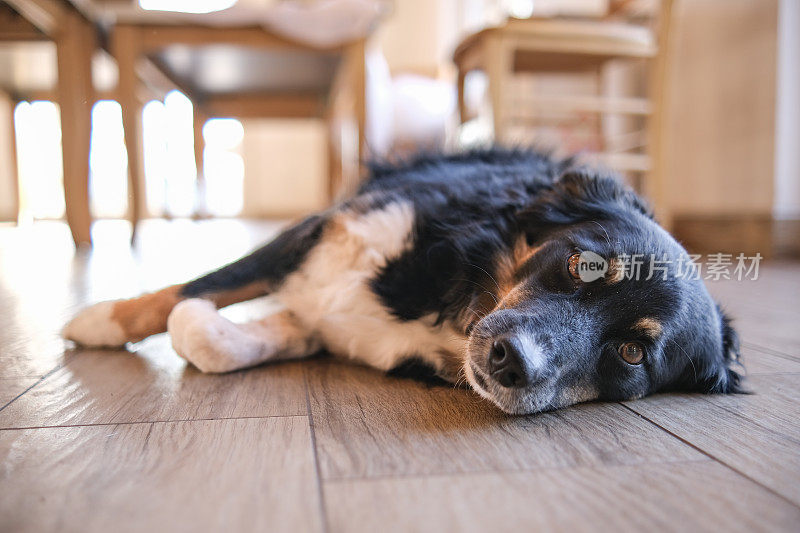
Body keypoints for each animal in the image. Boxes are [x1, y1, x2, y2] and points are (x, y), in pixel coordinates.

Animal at [61, 148, 744, 414]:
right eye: (585, 264)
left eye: (631, 354)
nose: (510, 361)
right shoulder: (316, 233)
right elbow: (186, 293)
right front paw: (98, 320)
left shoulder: (335, 320)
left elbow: (208, 338)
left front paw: (218, 328)